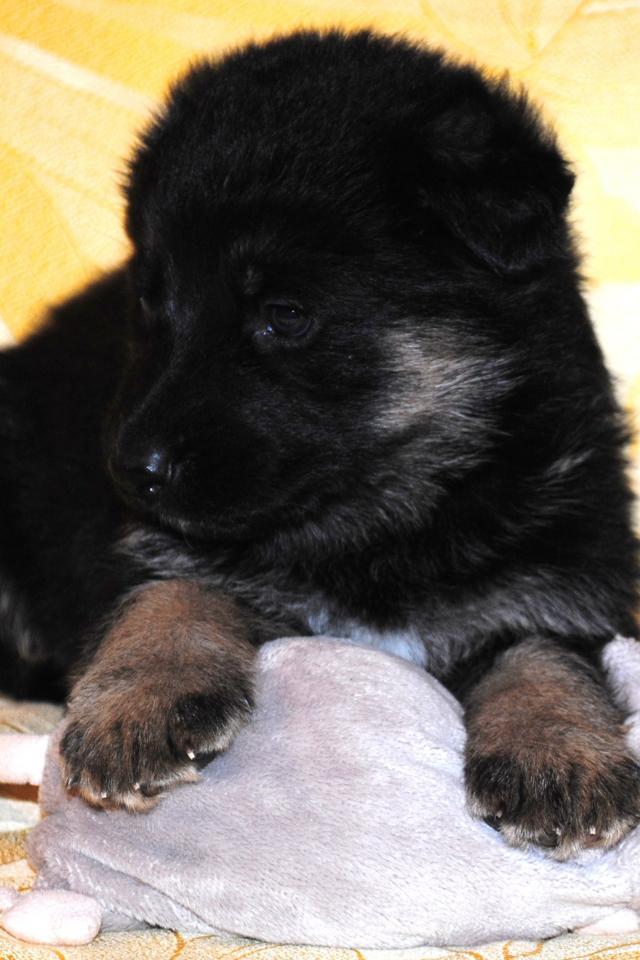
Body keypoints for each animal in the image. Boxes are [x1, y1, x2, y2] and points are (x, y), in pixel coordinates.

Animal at [0, 29, 637, 859]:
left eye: (287, 315)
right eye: (153, 302)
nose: (129, 469)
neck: (381, 522)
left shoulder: (561, 572)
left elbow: (543, 652)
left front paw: (557, 748)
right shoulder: (153, 548)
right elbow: (171, 588)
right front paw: (142, 699)